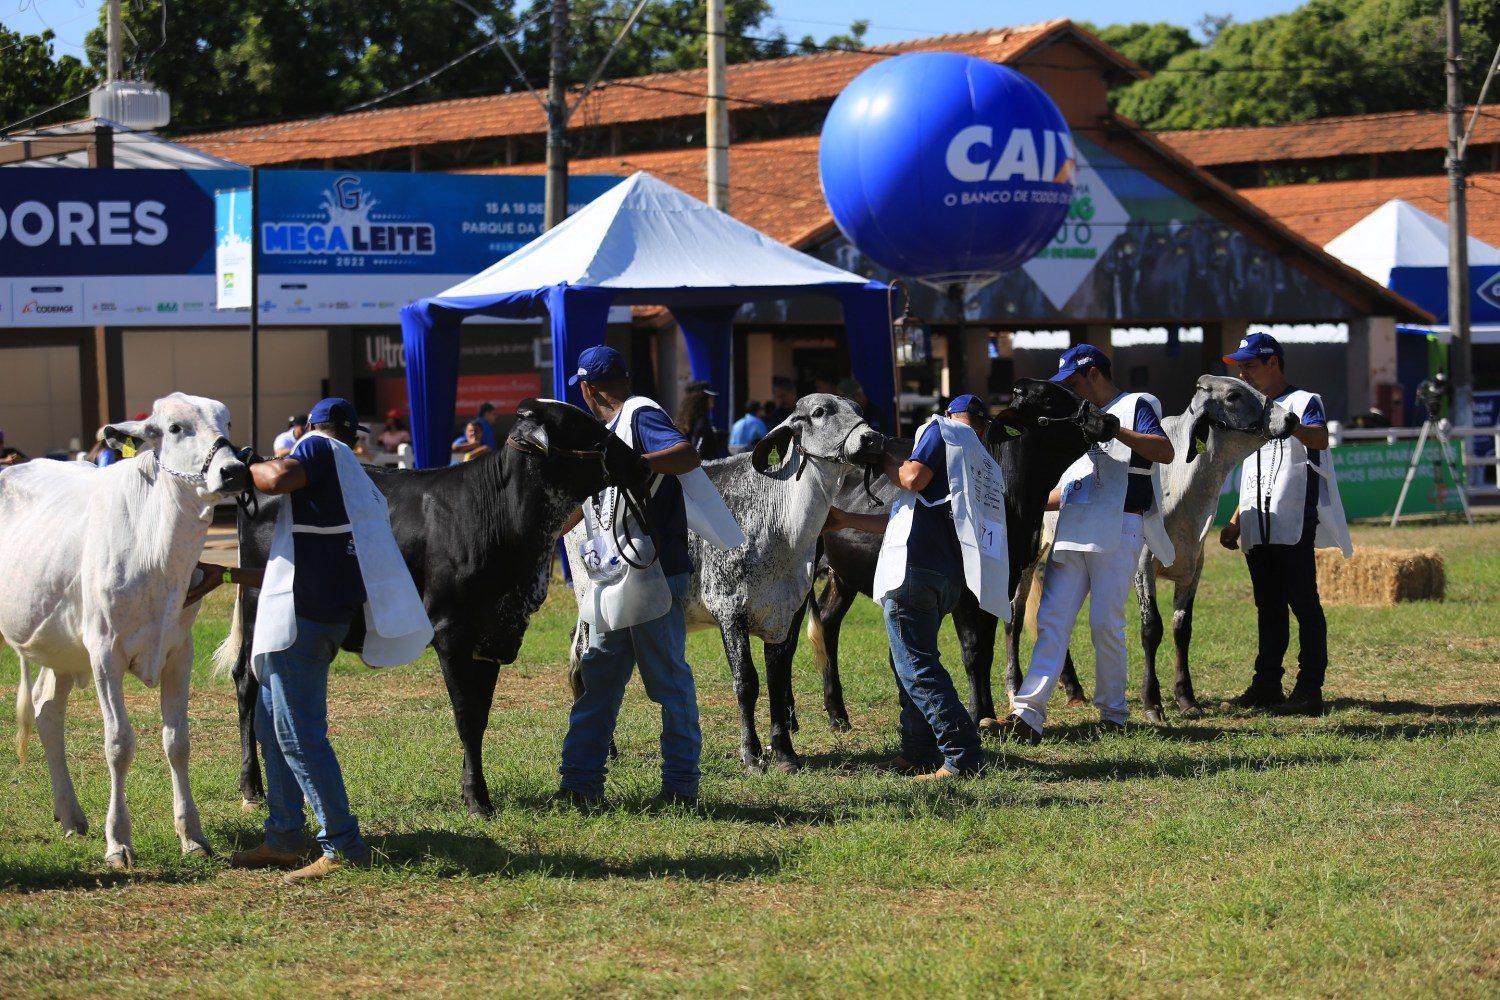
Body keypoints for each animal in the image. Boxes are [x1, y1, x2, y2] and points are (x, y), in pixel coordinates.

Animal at [0, 395, 249, 869]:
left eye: (227, 421)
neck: (159, 556)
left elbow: (177, 741)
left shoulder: (179, 652)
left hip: (60, 648)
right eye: (175, 428)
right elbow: (118, 743)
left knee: (46, 709)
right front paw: (117, 841)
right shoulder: (104, 652)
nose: (234, 470)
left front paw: (192, 835)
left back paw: (70, 815)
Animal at [219, 401, 654, 821]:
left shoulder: (492, 636)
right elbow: (466, 717)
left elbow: (480, 716)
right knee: (246, 682)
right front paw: (477, 800)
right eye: (582, 428)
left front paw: (472, 791)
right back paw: (251, 788)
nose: (642, 462)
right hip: (257, 606)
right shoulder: (452, 633)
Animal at [570, 395, 882, 773]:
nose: (871, 438)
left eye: (858, 409)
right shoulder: (729, 608)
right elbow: (746, 681)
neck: (782, 523)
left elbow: (778, 680)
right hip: (593, 601)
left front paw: (784, 753)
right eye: (820, 412)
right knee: (586, 662)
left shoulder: (787, 613)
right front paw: (751, 755)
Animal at [804, 379, 1122, 731]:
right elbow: (972, 651)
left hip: (842, 575)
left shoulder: (1002, 583)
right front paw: (978, 713)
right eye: (1050, 397)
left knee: (827, 623)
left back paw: (837, 714)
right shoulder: (965, 592)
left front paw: (988, 714)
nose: (1108, 420)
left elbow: (986, 650)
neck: (1015, 501)